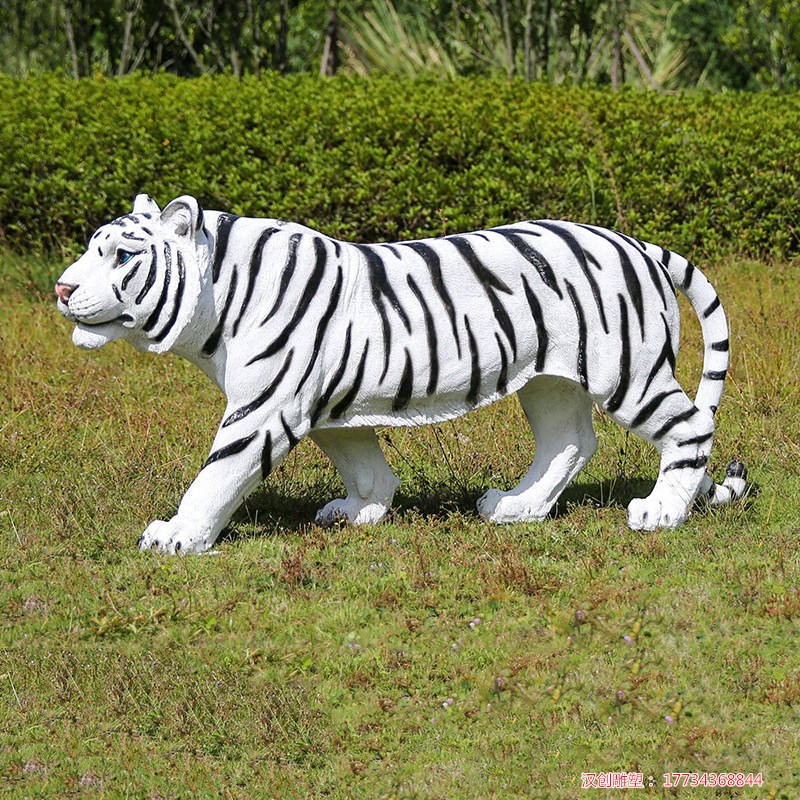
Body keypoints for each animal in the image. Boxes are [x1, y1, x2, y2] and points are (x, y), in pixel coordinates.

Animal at [55, 194, 747, 554]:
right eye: (90, 247)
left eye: (121, 256)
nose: (61, 289)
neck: (215, 300)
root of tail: (636, 243)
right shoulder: (323, 404)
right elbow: (363, 462)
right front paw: (362, 511)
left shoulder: (264, 409)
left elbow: (216, 477)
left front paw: (177, 536)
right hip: (550, 381)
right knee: (570, 442)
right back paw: (515, 508)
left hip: (629, 372)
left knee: (688, 429)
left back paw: (662, 512)